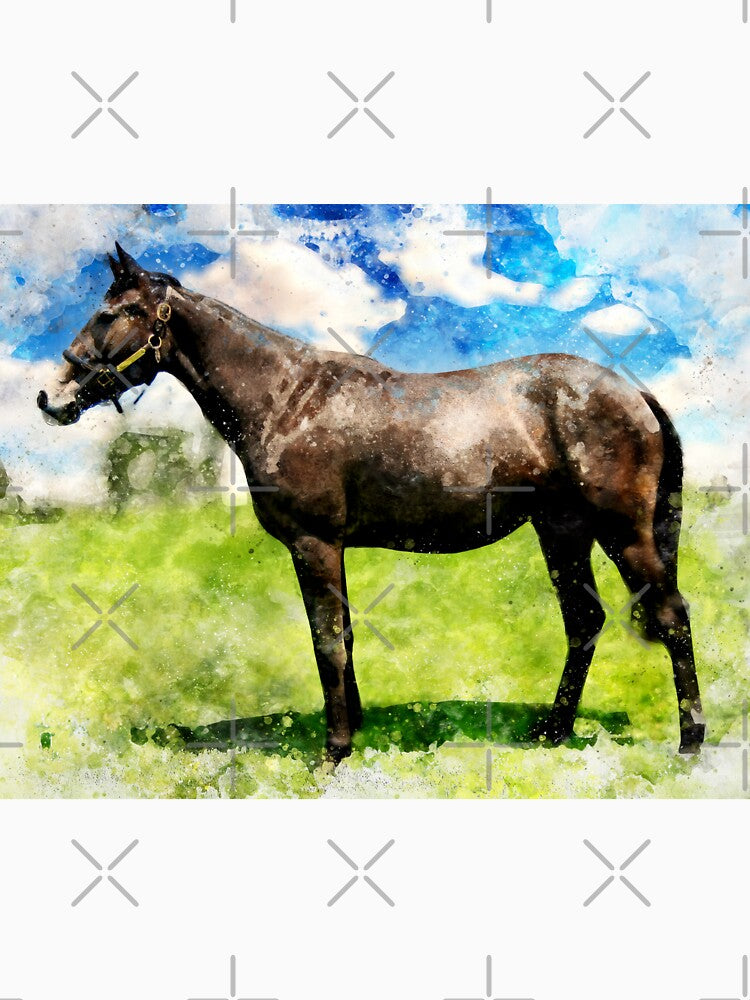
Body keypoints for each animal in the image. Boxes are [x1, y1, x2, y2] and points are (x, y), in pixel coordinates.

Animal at [37, 244, 705, 762]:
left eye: (110, 314)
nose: (51, 396)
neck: (286, 399)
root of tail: (633, 392)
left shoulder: (314, 544)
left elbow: (327, 642)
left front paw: (334, 750)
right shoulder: (330, 549)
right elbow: (346, 636)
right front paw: (353, 726)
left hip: (623, 531)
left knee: (670, 615)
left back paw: (690, 740)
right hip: (562, 530)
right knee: (583, 621)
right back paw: (552, 730)